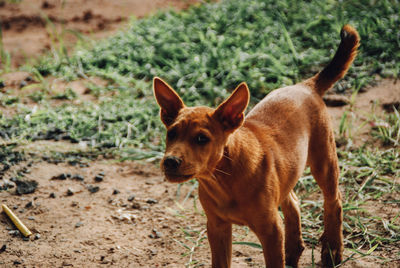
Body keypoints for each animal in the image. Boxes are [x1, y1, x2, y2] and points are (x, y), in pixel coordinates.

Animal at [152, 25, 360, 268]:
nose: (170, 162)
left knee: (333, 202)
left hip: (324, 161)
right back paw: (293, 251)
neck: (224, 178)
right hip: (288, 171)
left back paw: (332, 250)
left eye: (202, 139)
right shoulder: (217, 227)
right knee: (293, 202)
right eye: (171, 133)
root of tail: (306, 85)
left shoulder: (270, 230)